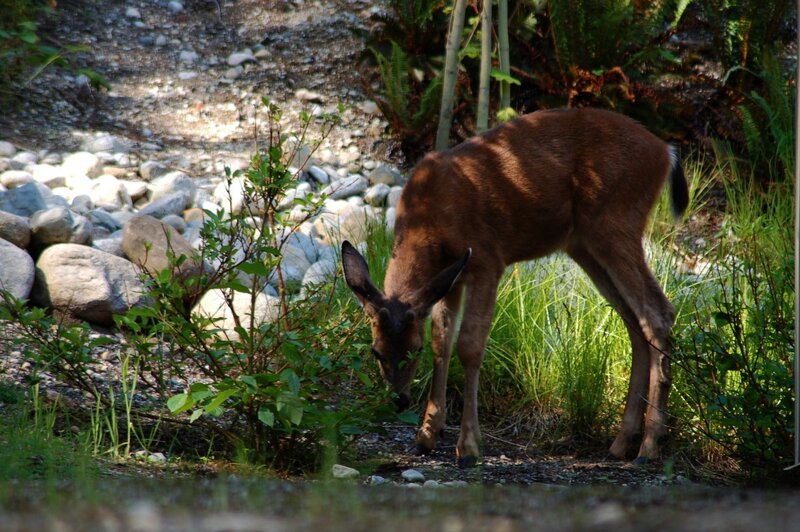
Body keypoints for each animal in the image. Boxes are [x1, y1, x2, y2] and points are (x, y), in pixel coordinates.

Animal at [341, 107, 689, 468]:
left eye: (413, 349)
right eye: (376, 351)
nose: (398, 400)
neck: (430, 220)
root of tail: (665, 151)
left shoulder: (486, 260)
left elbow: (468, 346)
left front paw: (468, 446)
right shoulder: (451, 278)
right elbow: (443, 342)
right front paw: (427, 435)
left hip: (616, 222)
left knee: (658, 313)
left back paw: (649, 445)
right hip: (584, 243)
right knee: (635, 324)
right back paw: (622, 443)